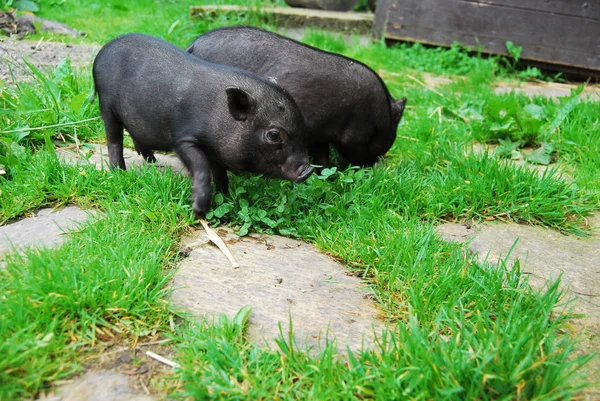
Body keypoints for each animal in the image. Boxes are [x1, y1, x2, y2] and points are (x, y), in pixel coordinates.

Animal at [92, 33, 314, 216]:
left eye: (303, 127)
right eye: (274, 135)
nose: (308, 170)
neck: (218, 115)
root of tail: (102, 52)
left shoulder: (216, 151)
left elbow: (220, 174)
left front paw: (226, 196)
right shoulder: (183, 139)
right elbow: (201, 167)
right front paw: (198, 211)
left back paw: (153, 161)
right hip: (107, 106)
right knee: (114, 140)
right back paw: (119, 172)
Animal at [188, 26, 408, 167]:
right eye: (393, 135)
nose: (378, 164)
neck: (381, 114)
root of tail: (193, 45)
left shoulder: (319, 133)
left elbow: (322, 157)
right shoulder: (354, 135)